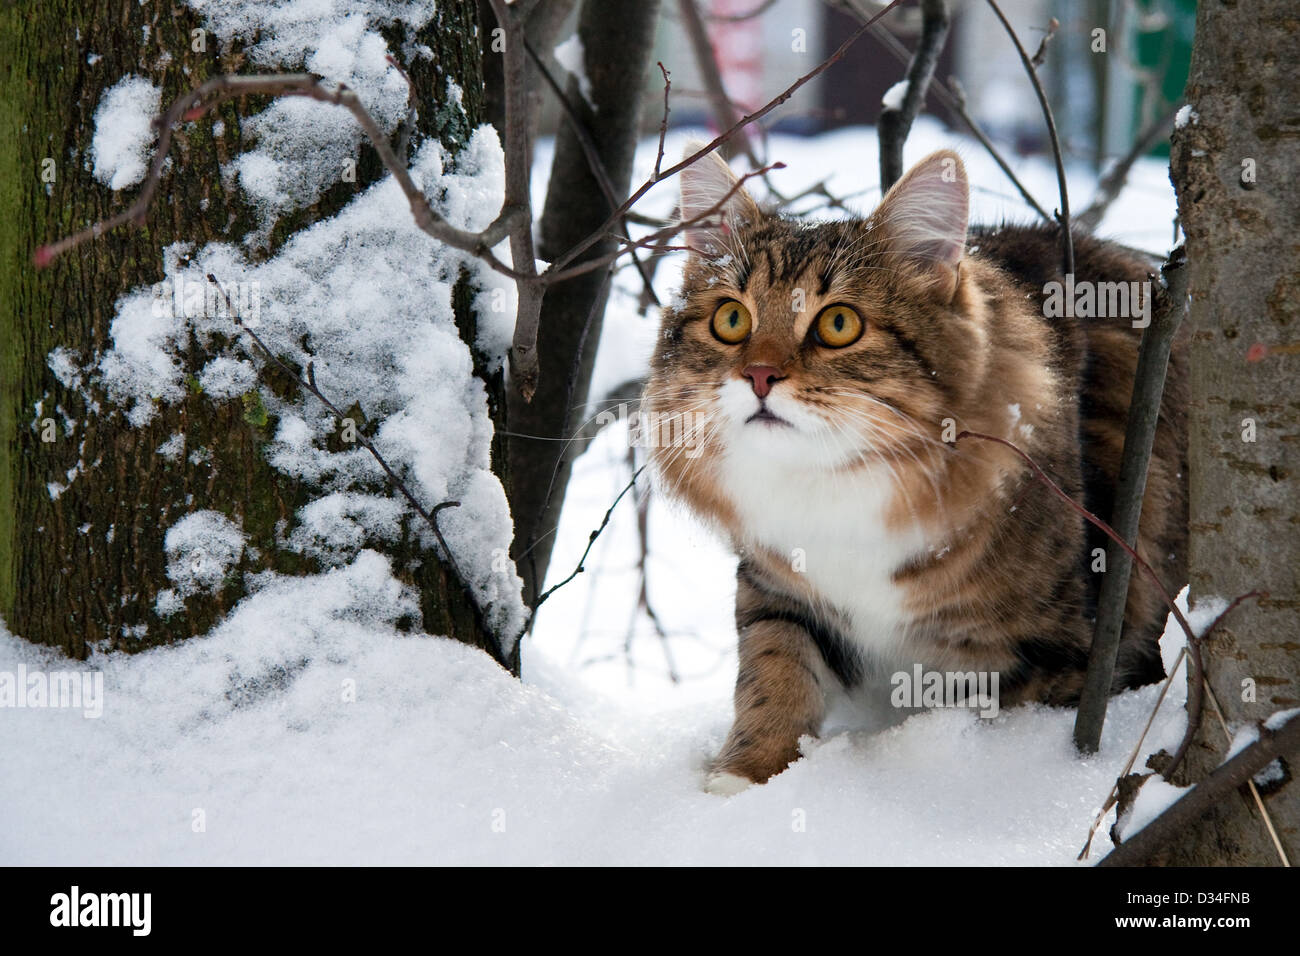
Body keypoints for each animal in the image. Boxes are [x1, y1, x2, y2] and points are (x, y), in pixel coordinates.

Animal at [644, 143, 1185, 790]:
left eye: (838, 324)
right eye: (731, 319)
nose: (759, 375)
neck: (836, 486)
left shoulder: (1059, 652)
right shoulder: (779, 594)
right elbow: (772, 676)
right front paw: (746, 779)